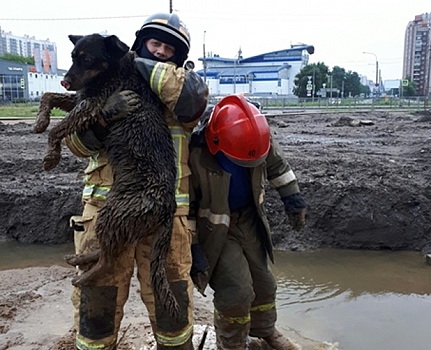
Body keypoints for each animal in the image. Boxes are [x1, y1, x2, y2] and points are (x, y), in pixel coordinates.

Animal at [34, 34, 181, 322]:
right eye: (72, 57)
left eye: (88, 58)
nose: (65, 80)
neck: (114, 70)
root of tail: (168, 205)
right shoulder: (81, 98)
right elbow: (49, 96)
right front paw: (40, 121)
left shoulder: (89, 105)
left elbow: (59, 128)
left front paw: (51, 156)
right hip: (114, 218)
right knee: (106, 250)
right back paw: (81, 259)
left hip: (113, 212)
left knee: (108, 261)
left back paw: (84, 276)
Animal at [189, 94, 308, 348]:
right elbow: (189, 205)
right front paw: (196, 258)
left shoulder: (267, 147)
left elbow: (276, 163)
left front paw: (295, 205)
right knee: (237, 295)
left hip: (253, 235)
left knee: (264, 284)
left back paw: (273, 336)